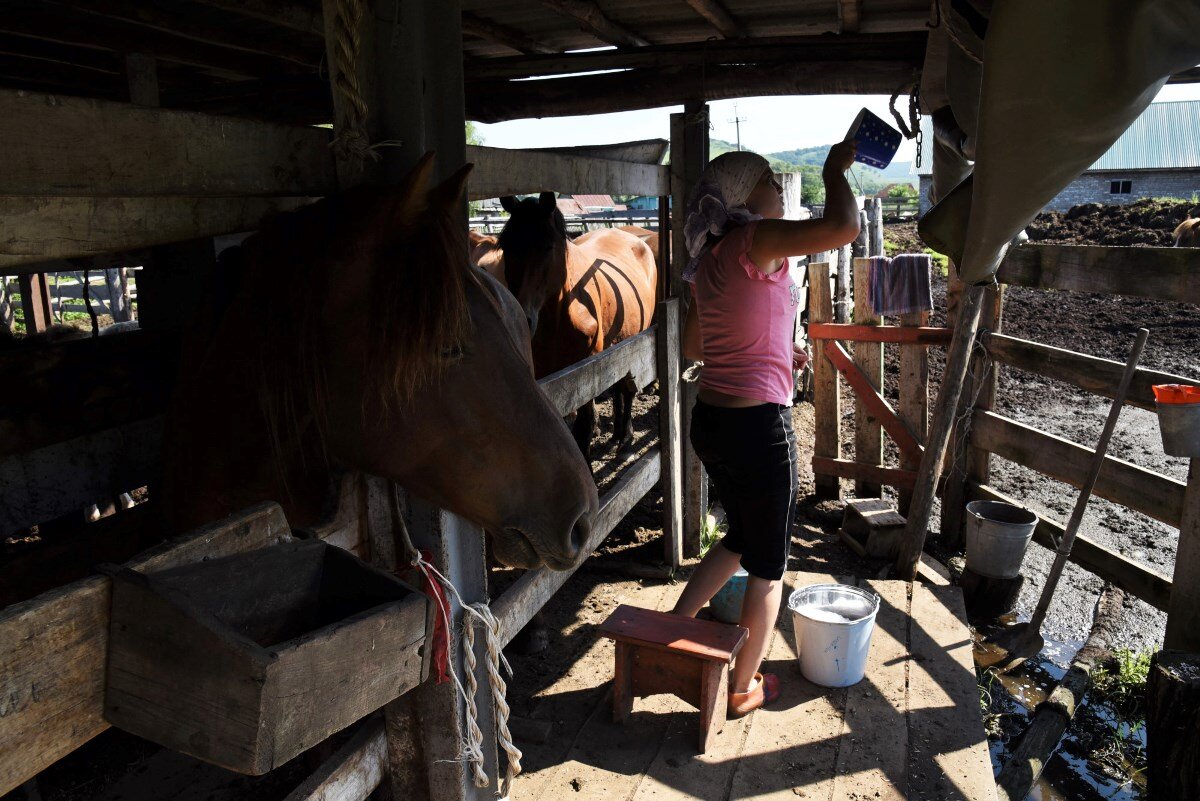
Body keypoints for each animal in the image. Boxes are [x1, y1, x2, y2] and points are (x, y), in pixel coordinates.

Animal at [501, 190, 662, 460]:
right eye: (504, 246)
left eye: (547, 247)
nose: (521, 319)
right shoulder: (547, 375)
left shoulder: (587, 372)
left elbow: (583, 428)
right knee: (617, 388)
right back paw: (617, 433)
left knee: (627, 389)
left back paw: (626, 439)